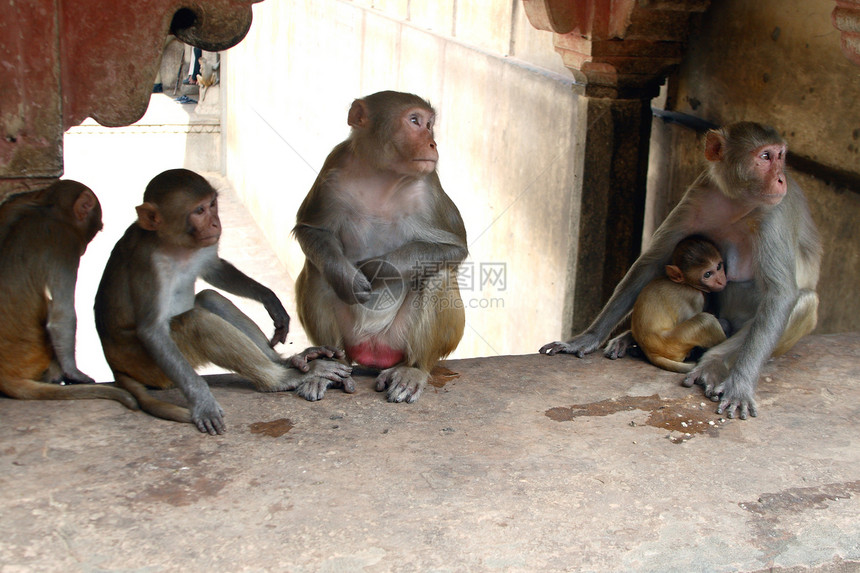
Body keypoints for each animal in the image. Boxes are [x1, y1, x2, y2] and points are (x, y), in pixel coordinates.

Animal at [0, 181, 137, 408]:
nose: (84, 249)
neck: (50, 211)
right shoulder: (64, 244)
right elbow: (61, 317)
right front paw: (75, 373)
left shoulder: (19, 205)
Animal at [93, 169, 350, 434]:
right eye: (199, 211)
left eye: (212, 204)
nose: (216, 223)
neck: (175, 247)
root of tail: (116, 365)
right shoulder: (148, 264)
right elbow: (151, 330)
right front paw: (201, 400)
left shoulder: (204, 244)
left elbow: (214, 269)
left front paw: (269, 298)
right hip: (149, 366)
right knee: (197, 322)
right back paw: (279, 379)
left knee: (210, 298)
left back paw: (287, 361)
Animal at [296, 89, 470, 402]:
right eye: (414, 121)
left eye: (429, 124)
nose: (433, 143)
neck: (383, 174)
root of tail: (373, 351)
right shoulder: (333, 167)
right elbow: (311, 229)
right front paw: (347, 277)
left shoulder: (430, 186)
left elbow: (454, 247)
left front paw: (379, 269)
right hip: (351, 337)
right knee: (317, 269)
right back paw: (327, 365)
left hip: (399, 340)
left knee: (438, 274)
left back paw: (413, 370)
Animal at [628, 235, 728, 374]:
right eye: (707, 274)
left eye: (718, 267)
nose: (720, 281)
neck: (687, 284)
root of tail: (650, 351)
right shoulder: (695, 298)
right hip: (673, 342)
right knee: (705, 320)